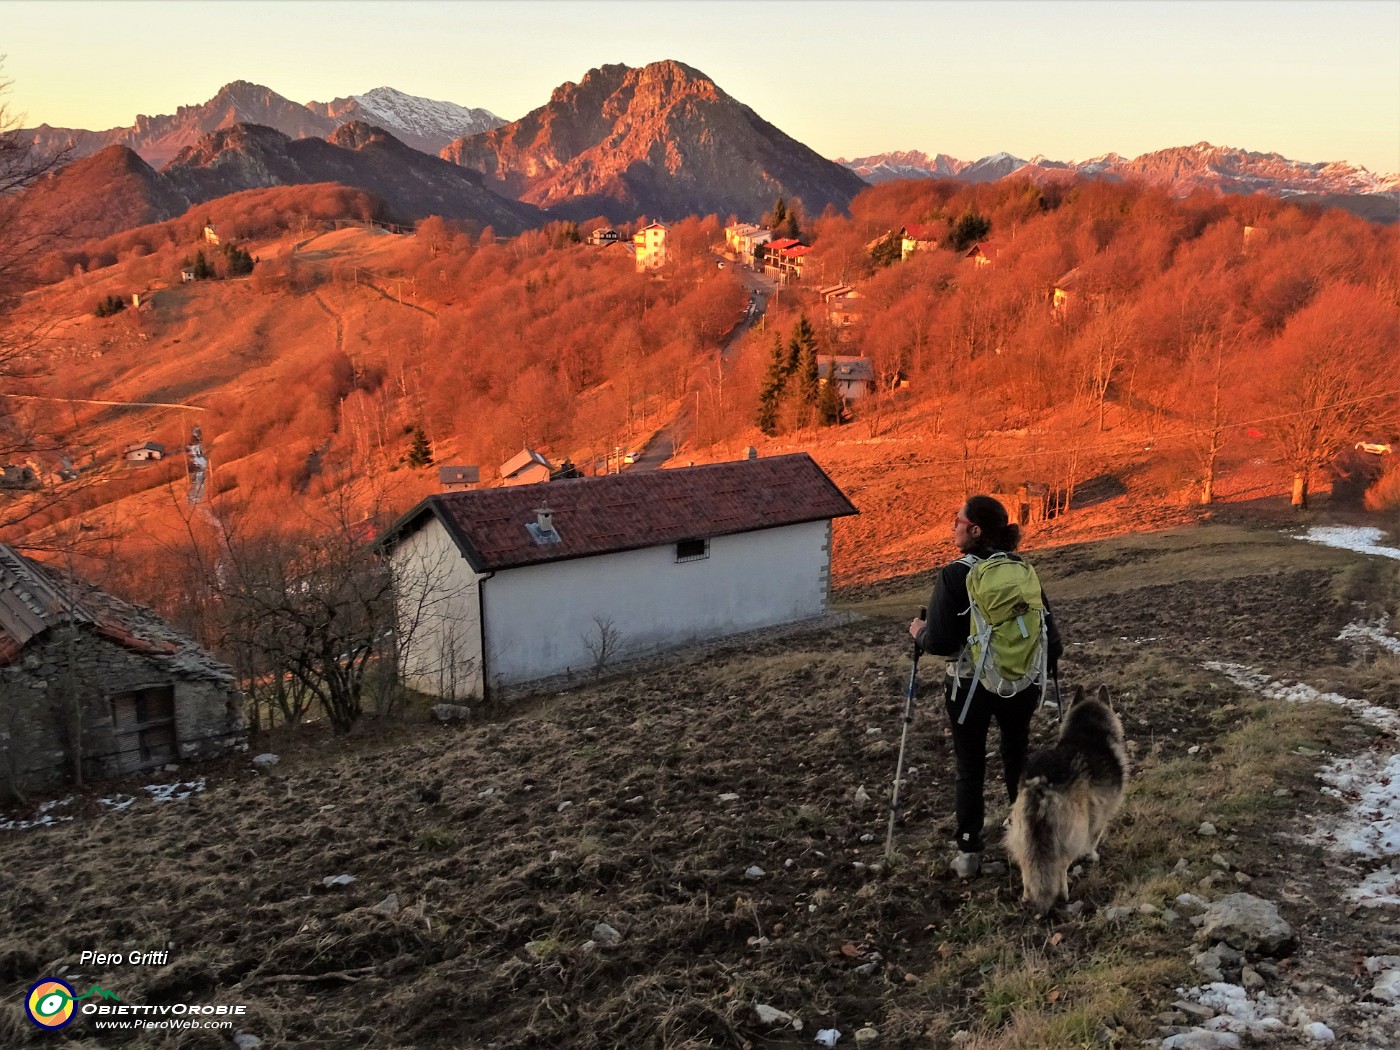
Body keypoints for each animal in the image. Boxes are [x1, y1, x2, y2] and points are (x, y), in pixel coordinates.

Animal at [1008, 686, 1125, 918]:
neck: (1089, 730)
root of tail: (1040, 783)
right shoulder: (1100, 813)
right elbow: (1094, 837)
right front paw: (1092, 856)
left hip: (1021, 832)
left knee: (1026, 863)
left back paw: (1027, 894)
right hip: (1071, 830)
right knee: (1061, 864)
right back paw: (1063, 893)